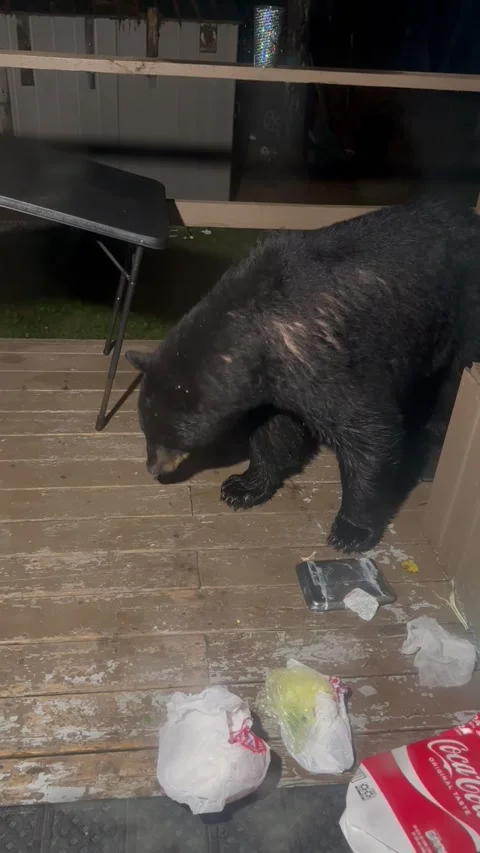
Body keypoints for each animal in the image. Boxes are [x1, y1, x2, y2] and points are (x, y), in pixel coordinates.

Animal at [126, 198, 480, 553]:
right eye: (145, 428)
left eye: (166, 435)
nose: (153, 468)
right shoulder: (279, 379)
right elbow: (275, 428)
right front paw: (243, 486)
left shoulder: (323, 359)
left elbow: (369, 431)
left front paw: (351, 531)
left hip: (460, 324)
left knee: (450, 394)